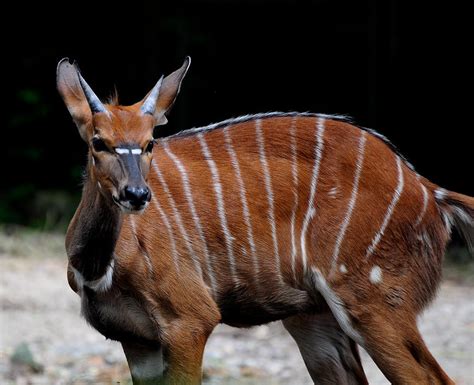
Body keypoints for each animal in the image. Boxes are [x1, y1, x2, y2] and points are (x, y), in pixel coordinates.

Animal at [57, 57, 472, 384]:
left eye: (149, 144)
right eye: (98, 142)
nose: (137, 194)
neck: (101, 267)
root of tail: (431, 192)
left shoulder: (189, 320)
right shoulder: (136, 340)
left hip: (373, 300)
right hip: (315, 317)